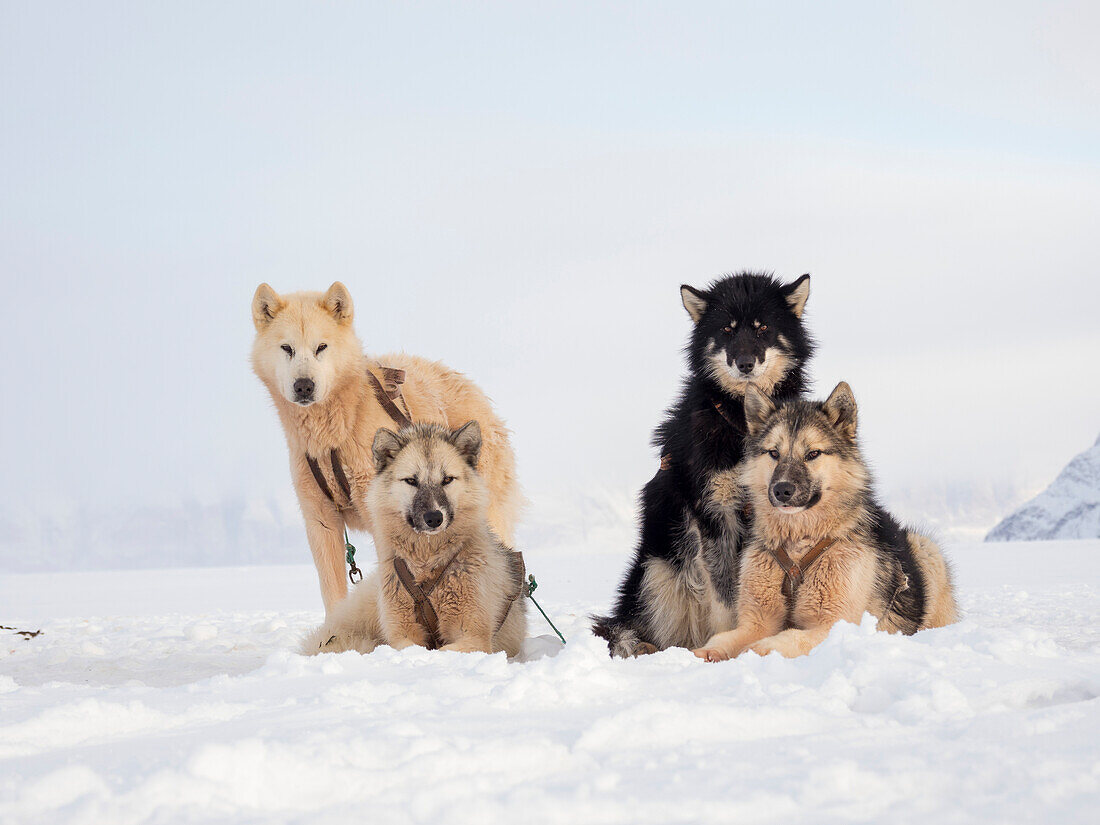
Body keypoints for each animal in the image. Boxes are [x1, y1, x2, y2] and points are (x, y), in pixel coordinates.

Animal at [251, 283, 521, 616]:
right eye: (286, 348)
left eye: (321, 347)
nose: (304, 386)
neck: (336, 433)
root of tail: (476, 392)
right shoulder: (320, 520)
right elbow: (333, 593)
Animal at [299, 426, 525, 660]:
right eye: (411, 481)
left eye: (447, 479)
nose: (434, 517)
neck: (427, 563)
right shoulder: (401, 635)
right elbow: (405, 646)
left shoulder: (473, 638)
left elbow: (442, 650)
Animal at [594, 275, 818, 655]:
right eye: (727, 330)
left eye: (762, 328)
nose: (744, 363)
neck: (741, 422)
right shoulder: (716, 513)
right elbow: (727, 599)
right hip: (657, 569)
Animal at [699, 382, 959, 664]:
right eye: (774, 453)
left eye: (813, 453)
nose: (782, 490)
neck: (798, 543)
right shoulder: (757, 621)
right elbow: (724, 638)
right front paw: (704, 652)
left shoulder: (832, 625)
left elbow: (787, 638)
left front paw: (758, 651)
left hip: (926, 550)